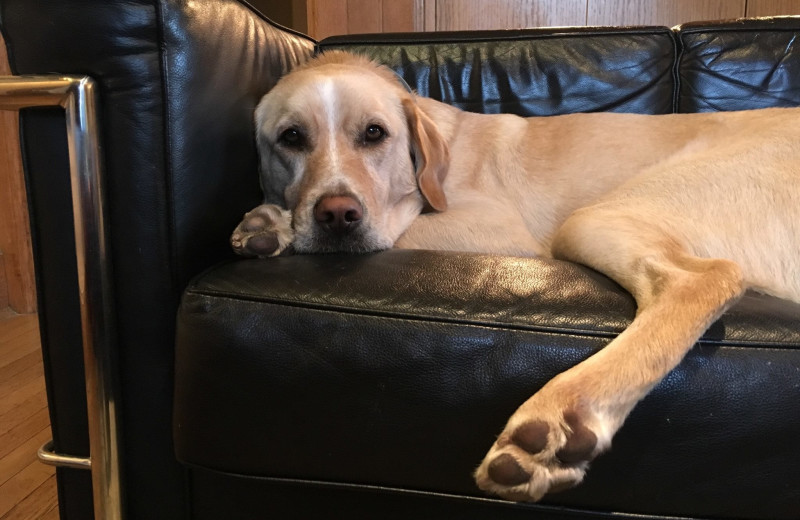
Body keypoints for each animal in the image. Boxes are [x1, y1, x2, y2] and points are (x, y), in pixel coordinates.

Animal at [230, 50, 800, 502]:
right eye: (291, 138)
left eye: (374, 133)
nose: (337, 216)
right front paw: (267, 223)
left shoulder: (493, 225)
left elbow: (403, 228)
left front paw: (279, 225)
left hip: (597, 218)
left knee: (705, 278)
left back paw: (560, 417)